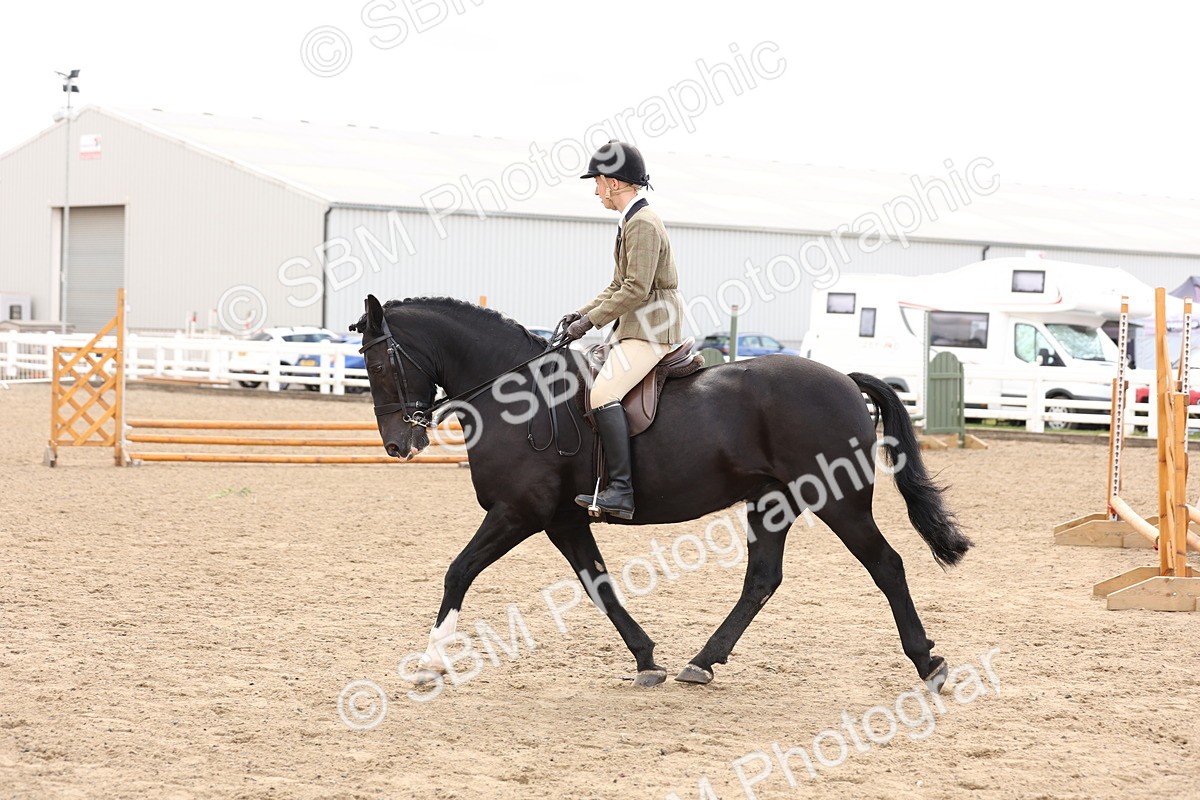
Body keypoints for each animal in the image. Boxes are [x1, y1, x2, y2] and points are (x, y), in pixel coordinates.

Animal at [349, 294, 972, 691]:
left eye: (377, 363)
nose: (398, 444)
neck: (517, 395)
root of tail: (844, 378)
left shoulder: (519, 512)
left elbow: (458, 571)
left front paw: (429, 663)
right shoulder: (561, 519)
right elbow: (598, 586)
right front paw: (647, 659)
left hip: (838, 502)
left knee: (886, 565)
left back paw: (928, 664)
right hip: (772, 502)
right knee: (762, 580)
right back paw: (703, 662)